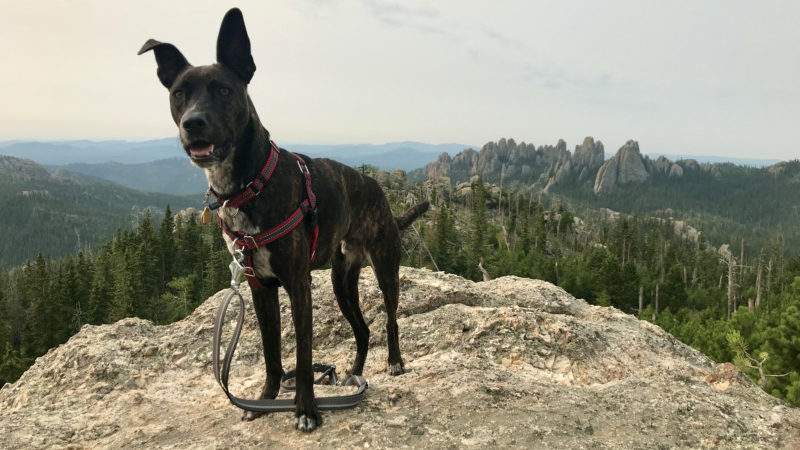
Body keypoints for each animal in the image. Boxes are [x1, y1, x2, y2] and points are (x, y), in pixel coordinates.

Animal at [139, 7, 424, 432]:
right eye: (178, 94)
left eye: (224, 90)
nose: (193, 123)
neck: (248, 184)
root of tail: (376, 189)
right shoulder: (260, 287)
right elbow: (272, 353)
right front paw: (264, 399)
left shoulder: (297, 285)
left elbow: (302, 358)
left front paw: (306, 409)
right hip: (341, 282)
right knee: (362, 329)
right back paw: (355, 374)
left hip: (385, 265)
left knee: (389, 319)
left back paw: (393, 362)